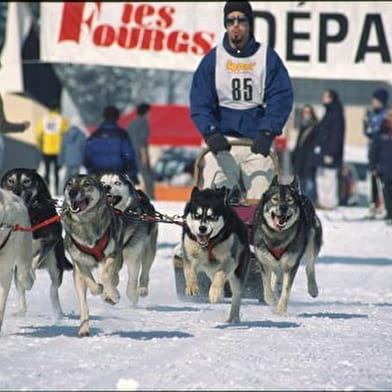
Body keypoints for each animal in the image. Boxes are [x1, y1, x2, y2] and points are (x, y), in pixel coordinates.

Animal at [0, 168, 72, 318]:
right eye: (10, 181)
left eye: (27, 181)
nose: (16, 192)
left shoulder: (50, 240)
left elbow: (34, 261)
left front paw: (30, 276)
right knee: (20, 287)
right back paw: (21, 309)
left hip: (55, 264)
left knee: (53, 289)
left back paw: (58, 313)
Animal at [182, 187, 250, 322]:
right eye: (197, 215)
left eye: (212, 216)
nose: (202, 228)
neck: (209, 244)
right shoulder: (190, 255)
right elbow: (190, 271)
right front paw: (191, 286)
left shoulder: (230, 258)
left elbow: (221, 274)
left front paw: (214, 292)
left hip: (237, 273)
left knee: (236, 293)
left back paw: (233, 317)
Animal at [251, 176, 322, 316]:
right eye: (275, 199)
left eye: (290, 200)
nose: (283, 207)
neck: (278, 236)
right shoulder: (264, 261)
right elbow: (266, 284)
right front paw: (271, 299)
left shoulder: (291, 265)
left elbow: (286, 290)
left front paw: (281, 310)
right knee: (276, 278)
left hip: (312, 242)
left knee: (310, 266)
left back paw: (313, 288)